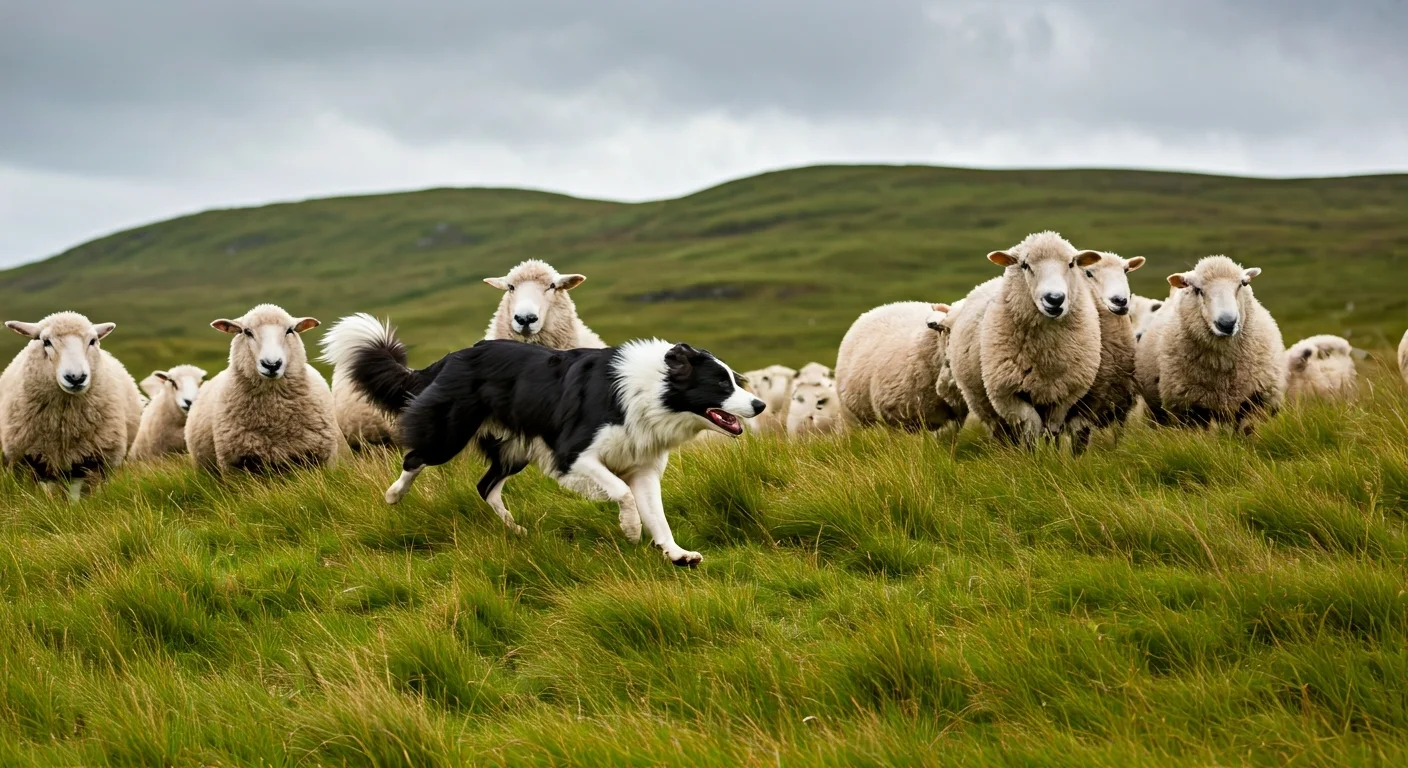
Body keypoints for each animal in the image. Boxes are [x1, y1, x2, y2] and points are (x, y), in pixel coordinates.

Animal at [1, 312, 144, 498]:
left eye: (92, 341)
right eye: (46, 342)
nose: (76, 377)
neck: (65, 423)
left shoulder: (88, 461)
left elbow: (76, 496)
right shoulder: (34, 459)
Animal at [185, 304, 341, 474]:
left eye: (289, 330)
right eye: (247, 331)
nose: (271, 364)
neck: (274, 417)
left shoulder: (319, 458)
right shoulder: (234, 464)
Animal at [950, 232, 1104, 448]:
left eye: (1072, 263)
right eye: (1025, 265)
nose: (1054, 299)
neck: (1047, 355)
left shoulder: (1065, 394)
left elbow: (1052, 431)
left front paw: (1052, 454)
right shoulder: (1006, 393)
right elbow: (1032, 429)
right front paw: (1031, 454)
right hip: (981, 402)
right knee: (1001, 432)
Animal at [1065, 252, 1146, 453]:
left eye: (1125, 270)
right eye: (1088, 273)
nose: (1121, 301)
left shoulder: (1122, 403)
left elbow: (1119, 438)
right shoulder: (1081, 410)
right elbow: (1078, 448)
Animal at [1134, 256, 1285, 434]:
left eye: (1243, 284)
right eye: (1197, 289)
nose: (1226, 323)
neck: (1223, 366)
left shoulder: (1256, 400)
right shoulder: (1192, 408)